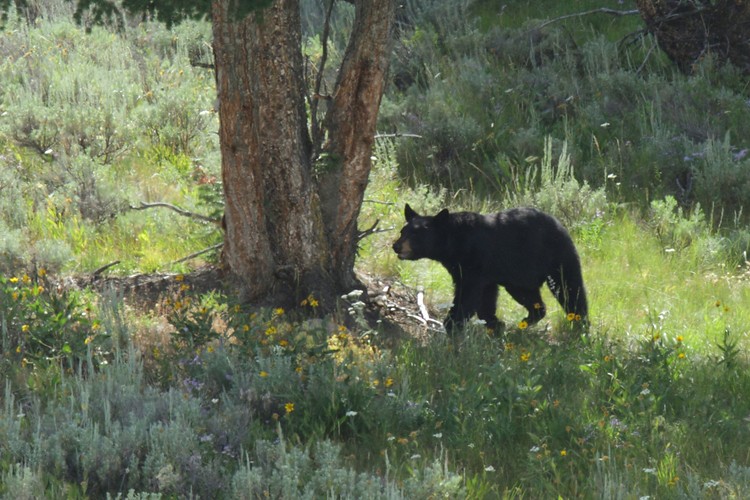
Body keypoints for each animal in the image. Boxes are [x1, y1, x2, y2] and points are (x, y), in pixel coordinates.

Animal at [392, 204, 588, 332]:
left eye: (416, 235)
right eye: (403, 231)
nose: (396, 246)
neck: (455, 242)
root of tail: (560, 225)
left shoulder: (475, 261)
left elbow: (468, 294)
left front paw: (452, 323)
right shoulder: (476, 270)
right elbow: (486, 297)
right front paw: (495, 324)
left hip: (556, 257)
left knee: (570, 289)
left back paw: (580, 324)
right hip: (519, 277)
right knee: (531, 297)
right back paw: (528, 319)